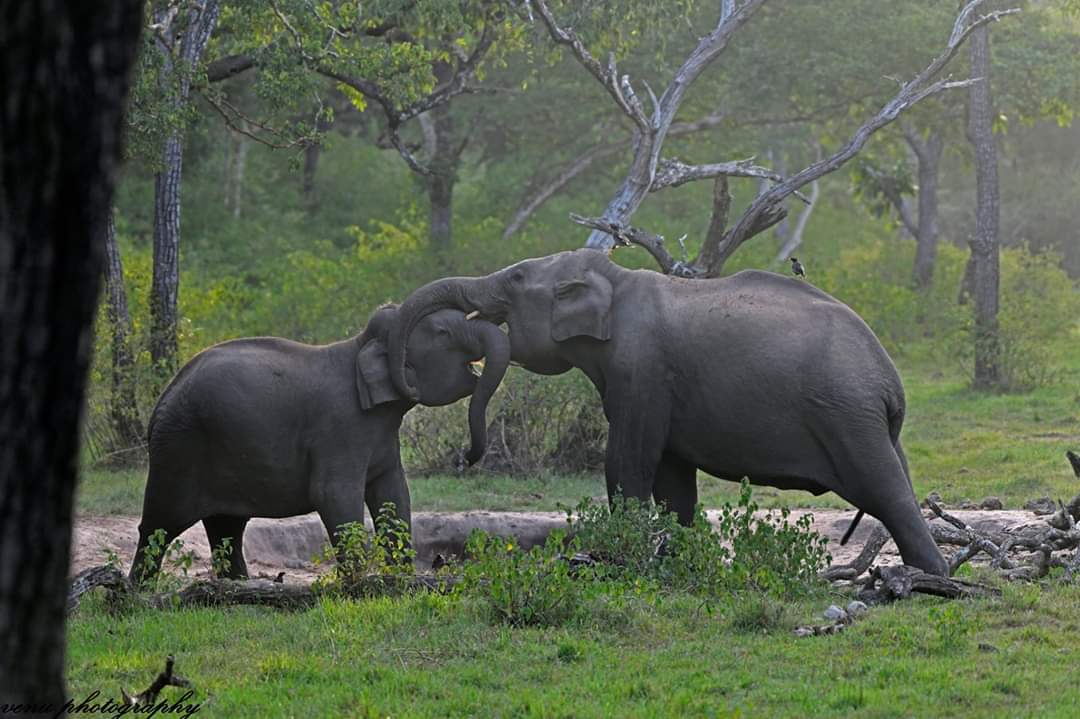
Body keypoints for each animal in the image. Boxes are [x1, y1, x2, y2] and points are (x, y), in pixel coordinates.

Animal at [127, 304, 509, 578]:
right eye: (443, 332)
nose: (466, 457)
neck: (359, 347)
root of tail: (162, 399)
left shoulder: (382, 434)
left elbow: (394, 494)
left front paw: (401, 580)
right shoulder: (340, 427)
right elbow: (334, 494)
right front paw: (360, 586)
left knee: (227, 528)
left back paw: (237, 586)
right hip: (180, 447)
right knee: (160, 524)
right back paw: (137, 591)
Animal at [384, 249, 950, 574]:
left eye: (518, 277)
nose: (466, 457)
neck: (615, 280)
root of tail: (890, 381)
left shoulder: (641, 371)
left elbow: (628, 462)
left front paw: (618, 562)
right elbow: (674, 483)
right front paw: (675, 564)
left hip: (845, 412)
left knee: (885, 490)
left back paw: (930, 579)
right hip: (867, 420)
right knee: (897, 480)